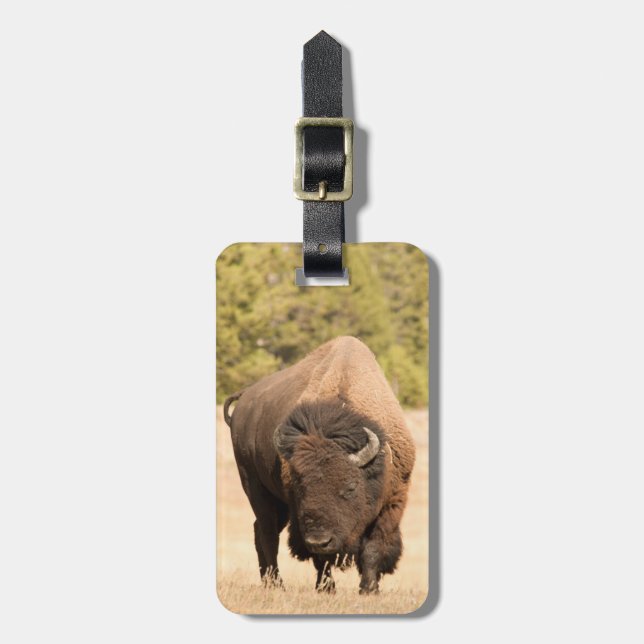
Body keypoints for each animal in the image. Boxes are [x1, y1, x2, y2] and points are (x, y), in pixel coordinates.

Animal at [223, 336, 416, 594]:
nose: (319, 540)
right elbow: (320, 559)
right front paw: (327, 589)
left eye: (350, 487)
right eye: (300, 487)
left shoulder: (392, 503)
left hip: (278, 504)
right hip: (255, 487)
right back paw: (276, 584)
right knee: (267, 533)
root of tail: (244, 400)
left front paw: (369, 589)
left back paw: (268, 582)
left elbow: (373, 548)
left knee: (260, 531)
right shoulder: (299, 515)